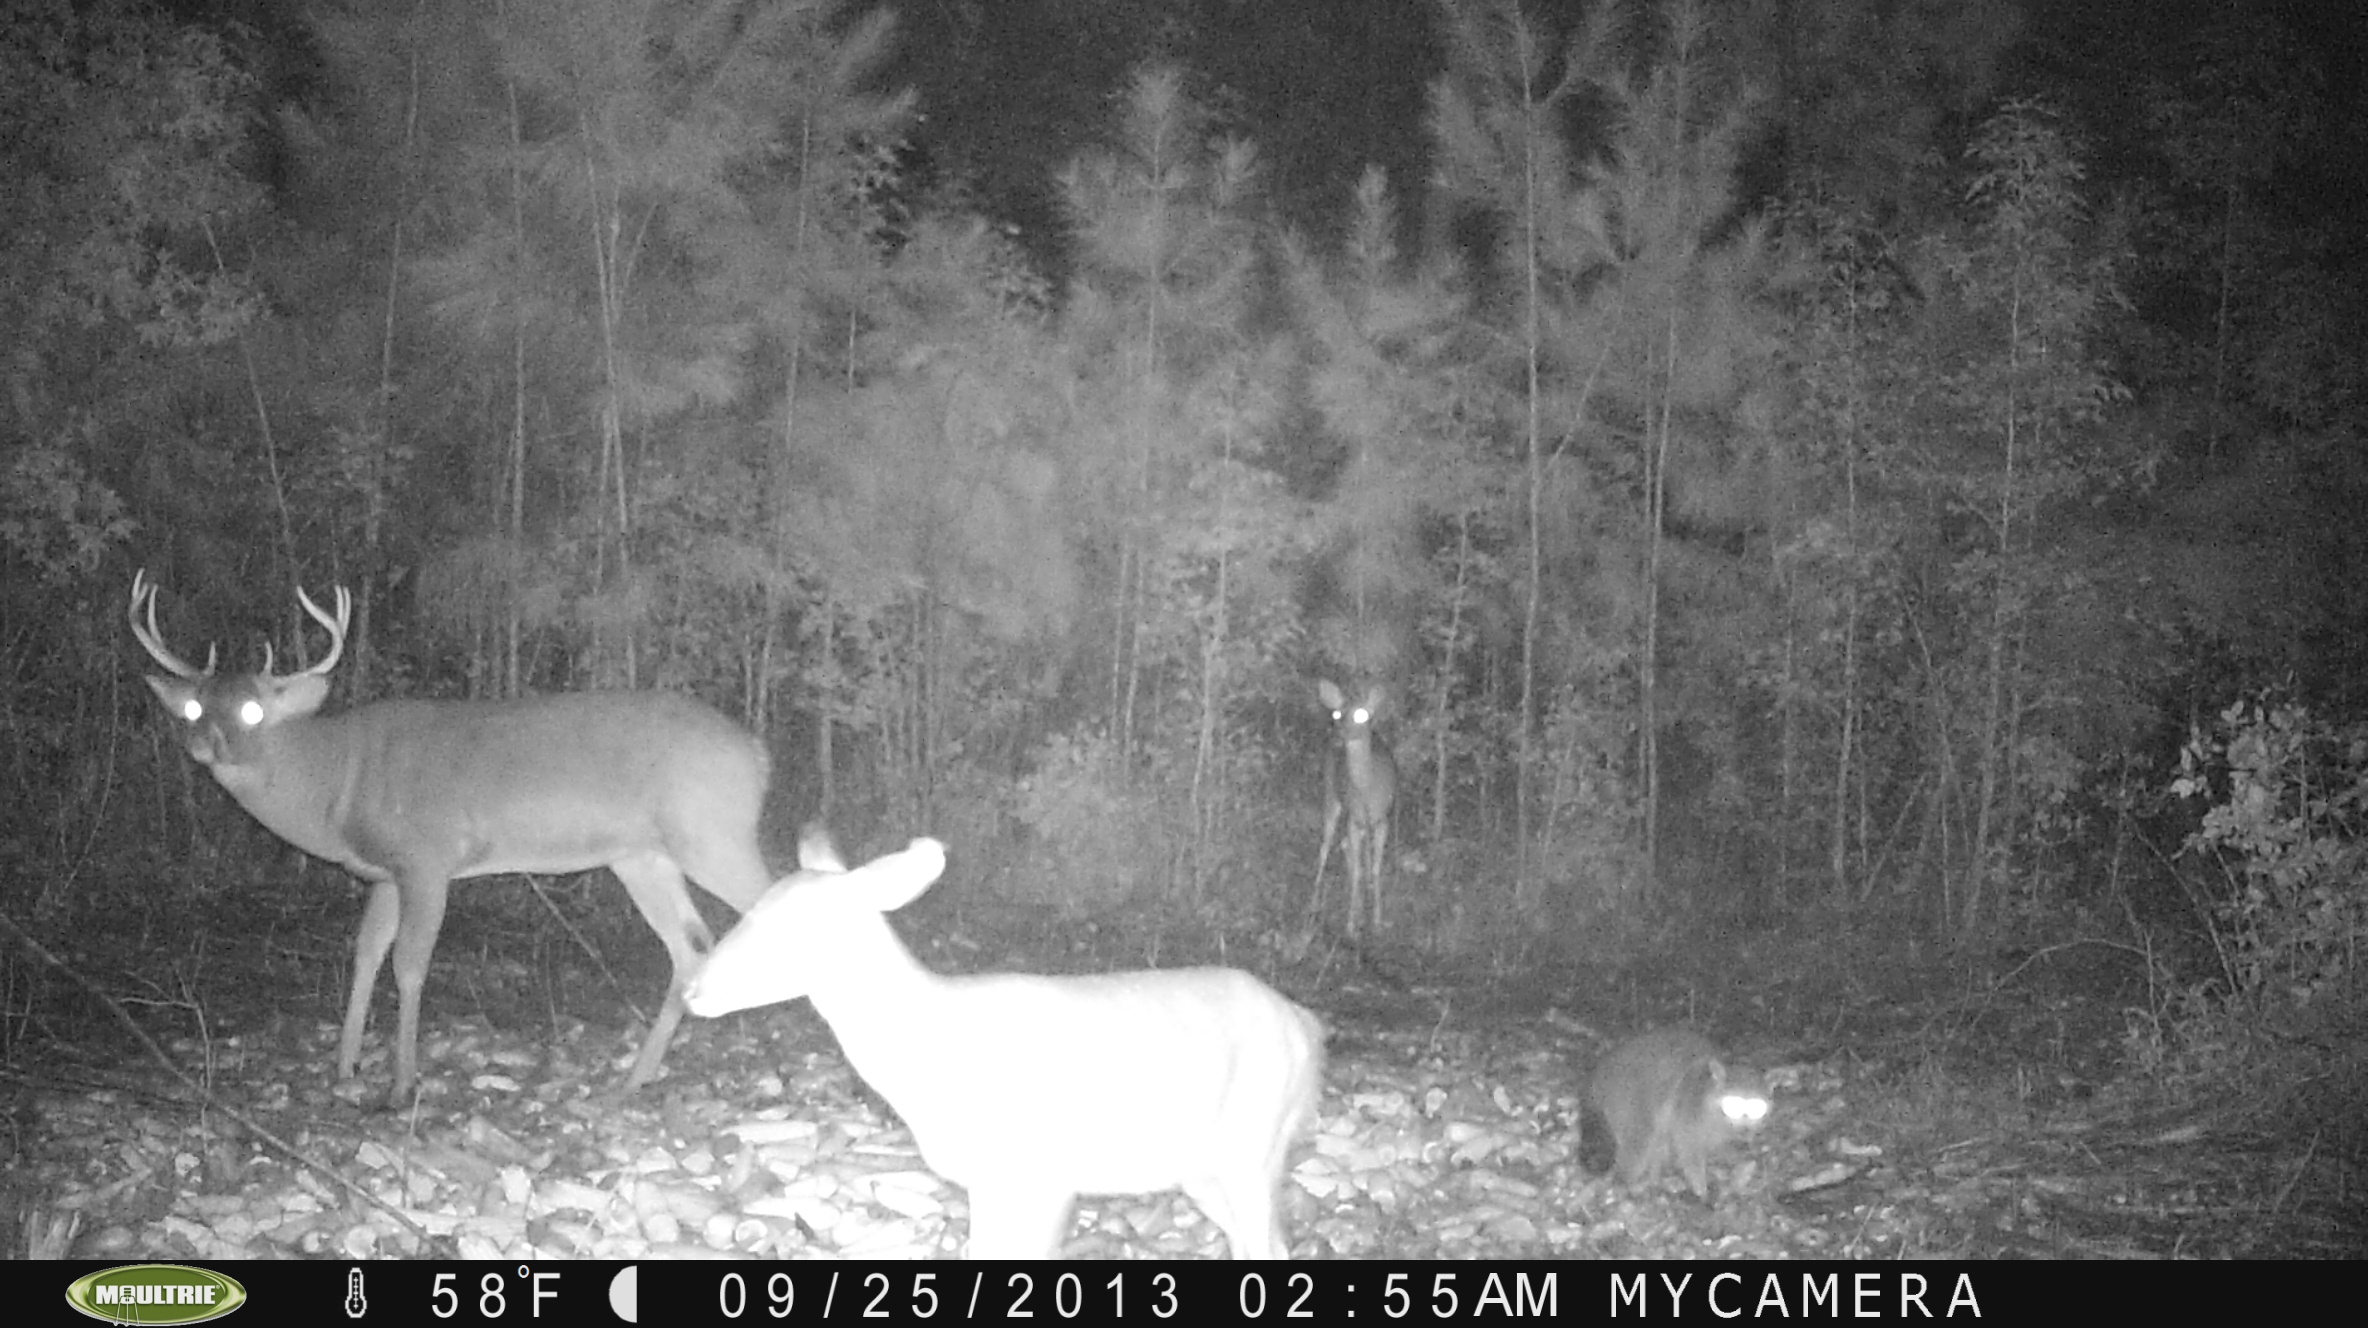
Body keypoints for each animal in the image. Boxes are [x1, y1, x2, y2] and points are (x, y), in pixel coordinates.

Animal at [128, 570, 775, 1104]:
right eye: (192, 707)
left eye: (254, 712)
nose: (205, 746)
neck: (336, 783)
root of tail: (758, 753)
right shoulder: (383, 873)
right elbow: (366, 953)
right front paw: (345, 1067)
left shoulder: (426, 859)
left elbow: (409, 964)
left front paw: (401, 1084)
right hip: (642, 856)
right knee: (690, 947)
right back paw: (636, 1077)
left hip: (711, 833)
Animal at [684, 831, 1326, 1259]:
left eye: (789, 925)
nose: (693, 989)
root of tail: (1306, 1026)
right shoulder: (989, 1180)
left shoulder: (1040, 1174)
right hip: (1204, 1167)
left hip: (1254, 1141)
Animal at [1313, 679, 1396, 938]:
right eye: (1337, 713)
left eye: (1362, 714)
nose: (1339, 734)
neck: (1367, 789)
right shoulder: (1353, 817)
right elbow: (1359, 870)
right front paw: (1350, 925)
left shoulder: (1382, 820)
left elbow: (1375, 869)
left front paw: (1377, 921)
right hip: (1331, 795)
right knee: (1327, 846)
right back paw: (1315, 899)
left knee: (1348, 849)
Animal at [1580, 1028, 1770, 1202]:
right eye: (1733, 1105)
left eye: (1757, 1109)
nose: (1745, 1131)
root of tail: (1599, 1074)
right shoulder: (1689, 1108)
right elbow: (1688, 1149)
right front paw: (1700, 1187)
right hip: (1629, 1096)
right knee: (1642, 1138)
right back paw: (1627, 1180)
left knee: (1658, 1139)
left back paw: (1653, 1178)